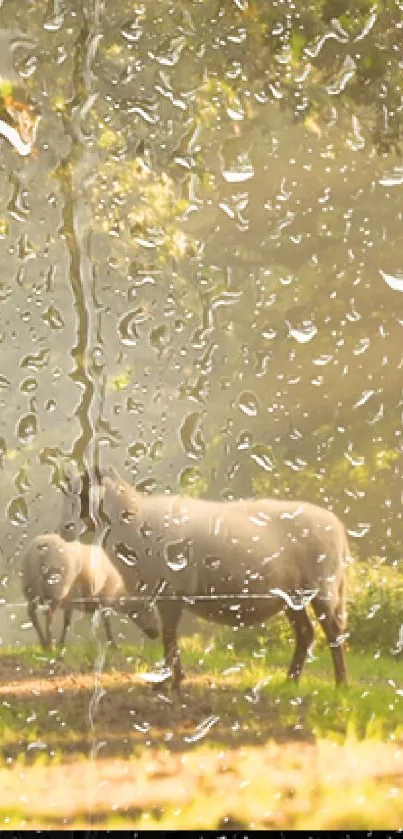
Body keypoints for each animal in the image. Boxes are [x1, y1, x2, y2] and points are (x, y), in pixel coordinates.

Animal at [20, 532, 159, 648]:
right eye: (150, 611)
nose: (156, 634)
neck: (118, 594)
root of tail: (40, 548)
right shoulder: (104, 600)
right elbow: (106, 622)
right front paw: (113, 645)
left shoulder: (71, 602)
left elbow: (67, 623)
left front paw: (61, 644)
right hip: (56, 587)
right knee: (49, 614)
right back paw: (49, 644)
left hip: (30, 586)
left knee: (31, 612)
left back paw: (44, 643)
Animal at [60, 470, 350, 692]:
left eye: (84, 494)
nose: (64, 530)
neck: (132, 520)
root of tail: (338, 528)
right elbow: (170, 638)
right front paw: (172, 680)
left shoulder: (171, 593)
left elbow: (168, 638)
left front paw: (170, 682)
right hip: (293, 596)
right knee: (306, 634)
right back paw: (290, 681)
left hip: (322, 587)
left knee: (334, 633)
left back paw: (341, 684)